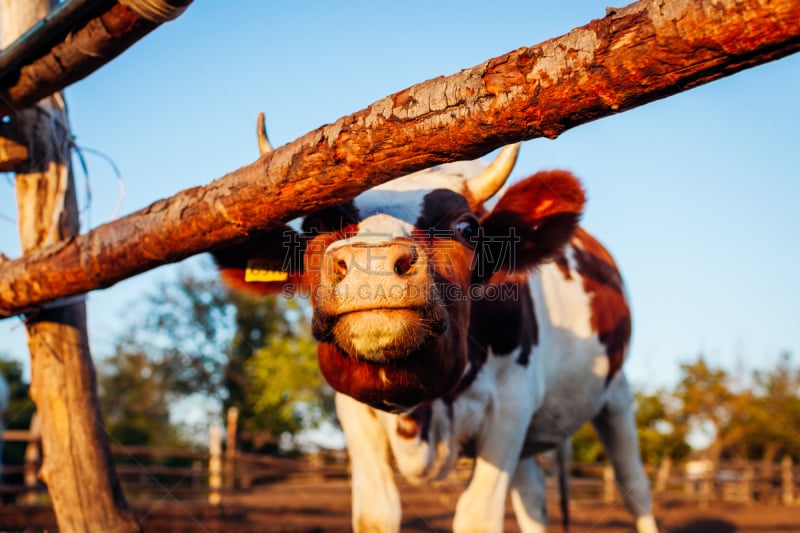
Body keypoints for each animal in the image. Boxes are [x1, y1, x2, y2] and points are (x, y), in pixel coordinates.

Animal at [212, 120, 656, 532]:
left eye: (467, 228)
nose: (374, 262)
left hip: (617, 395)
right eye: (312, 227)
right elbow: (377, 513)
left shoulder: (511, 404)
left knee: (635, 488)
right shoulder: (354, 413)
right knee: (532, 498)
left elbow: (477, 517)